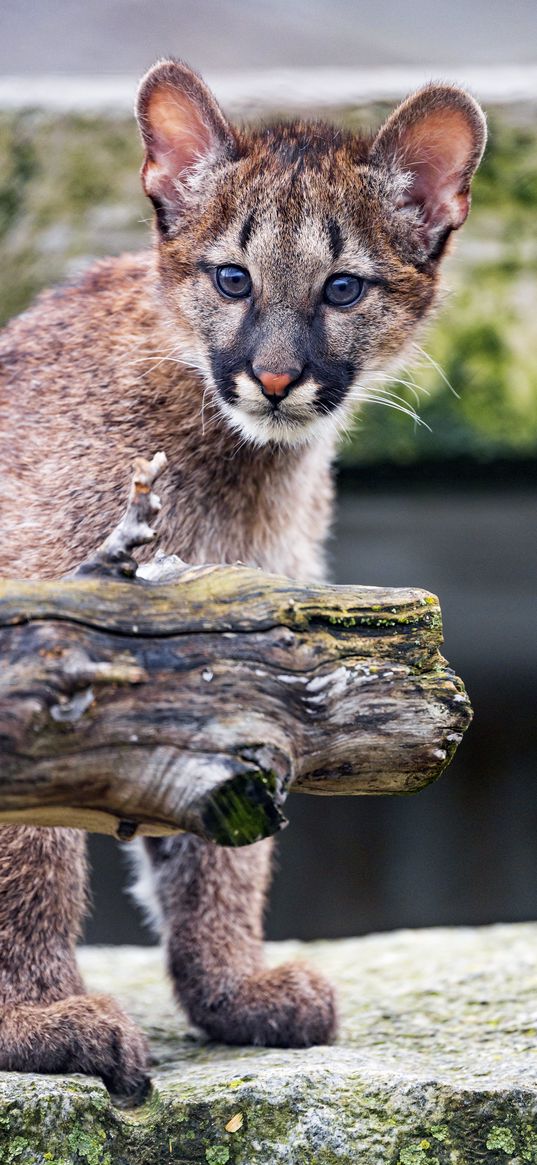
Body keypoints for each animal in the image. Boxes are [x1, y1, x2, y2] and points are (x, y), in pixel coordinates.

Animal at [0, 63, 484, 1099]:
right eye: (233, 278)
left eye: (342, 288)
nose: (272, 377)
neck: (238, 462)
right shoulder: (42, 634)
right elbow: (33, 847)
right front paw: (37, 1020)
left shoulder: (238, 651)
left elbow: (224, 841)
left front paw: (230, 990)